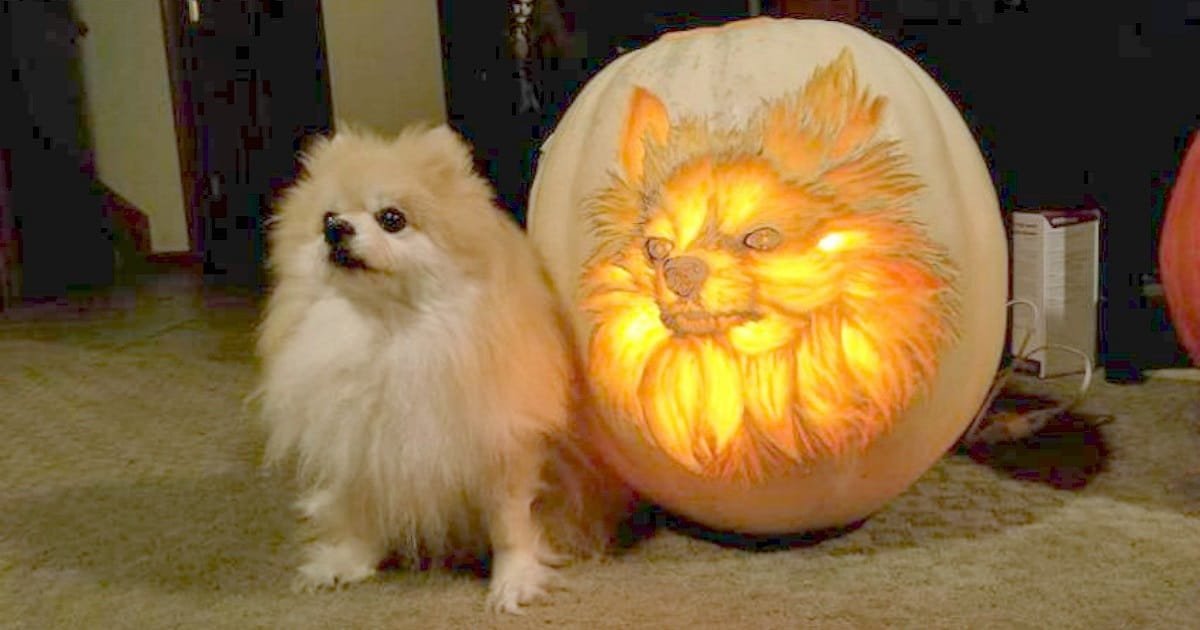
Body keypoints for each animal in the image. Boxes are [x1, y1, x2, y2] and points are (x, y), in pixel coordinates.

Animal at [256, 123, 624, 614]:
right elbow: (362, 509)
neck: (389, 335)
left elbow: (510, 526)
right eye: (326, 217)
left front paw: (514, 581)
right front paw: (348, 561)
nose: (337, 229)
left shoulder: (506, 449)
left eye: (392, 218)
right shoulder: (363, 444)